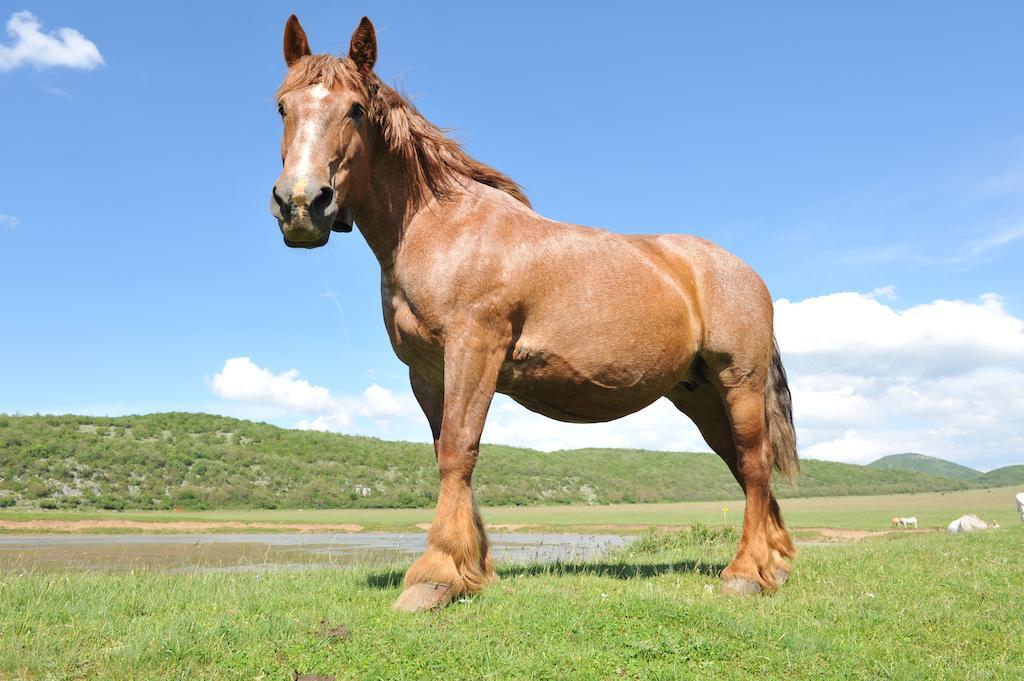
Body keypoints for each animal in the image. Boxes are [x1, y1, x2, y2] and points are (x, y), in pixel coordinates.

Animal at [270, 14, 798, 610]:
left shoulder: (475, 349)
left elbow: (458, 451)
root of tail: (745, 272)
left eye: (356, 109)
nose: (301, 204)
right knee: (745, 471)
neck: (441, 226)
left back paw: (745, 574)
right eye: (283, 107)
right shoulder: (426, 372)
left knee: (754, 464)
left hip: (739, 382)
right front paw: (472, 570)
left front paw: (434, 576)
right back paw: (775, 565)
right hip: (700, 395)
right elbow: (447, 452)